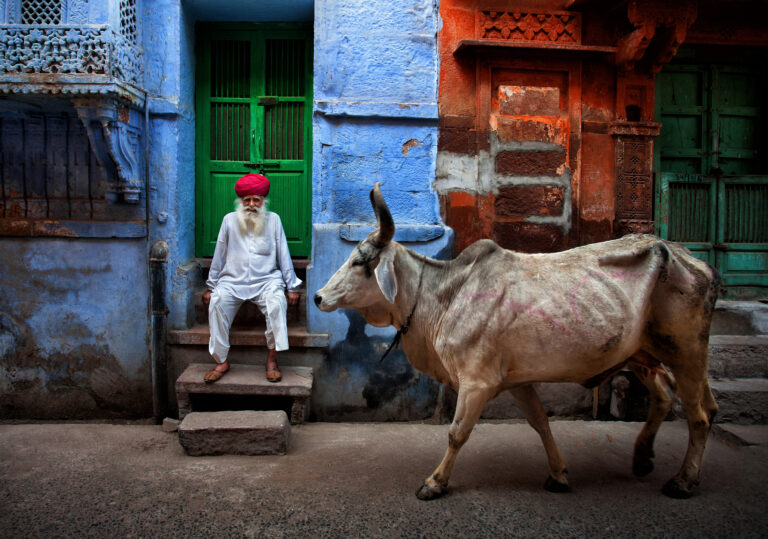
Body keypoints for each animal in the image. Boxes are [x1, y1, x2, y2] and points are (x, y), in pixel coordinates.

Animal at [314, 183, 720, 500]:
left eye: (360, 262)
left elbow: (456, 433)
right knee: (671, 397)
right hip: (644, 354)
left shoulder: (477, 383)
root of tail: (693, 261)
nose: (318, 297)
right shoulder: (518, 381)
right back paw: (642, 456)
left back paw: (683, 481)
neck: (443, 295)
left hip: (686, 351)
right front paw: (559, 475)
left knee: (699, 415)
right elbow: (541, 423)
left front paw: (435, 482)